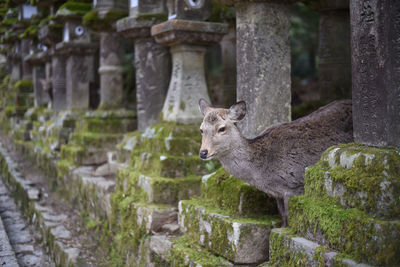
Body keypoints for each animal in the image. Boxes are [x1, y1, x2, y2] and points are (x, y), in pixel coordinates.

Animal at [198, 98, 352, 226]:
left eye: (222, 128)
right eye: (201, 129)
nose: (203, 152)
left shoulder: (295, 187)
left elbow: (289, 219)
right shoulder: (278, 194)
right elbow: (283, 218)